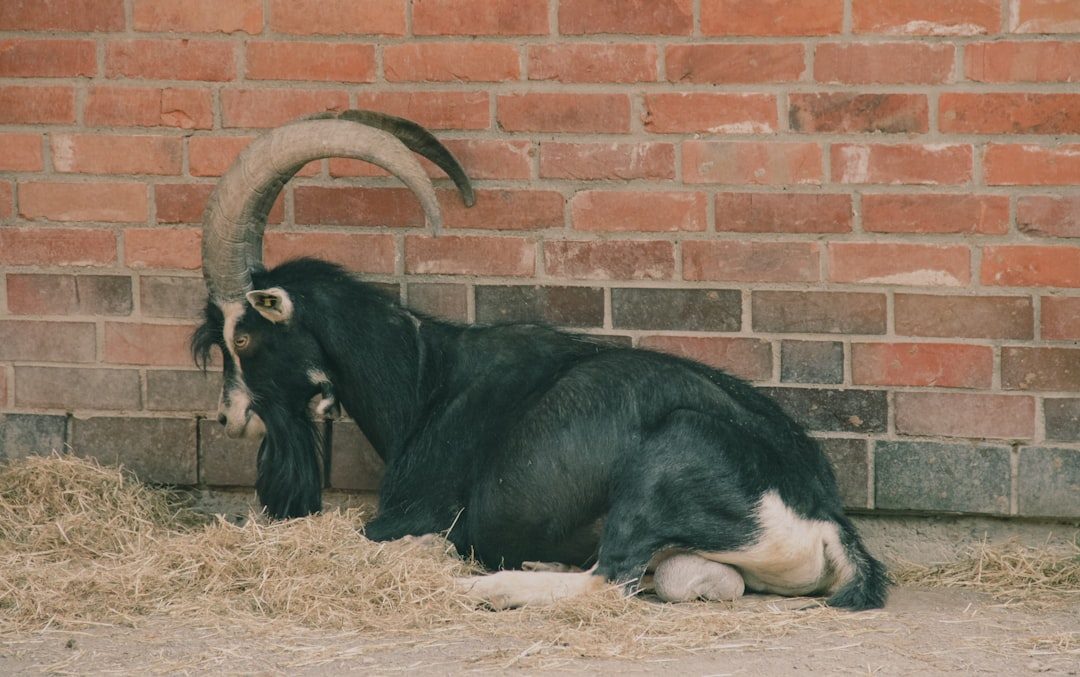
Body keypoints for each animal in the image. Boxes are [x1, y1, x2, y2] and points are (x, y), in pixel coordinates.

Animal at [193, 110, 889, 611]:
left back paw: (482, 585)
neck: (427, 380)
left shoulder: (411, 511)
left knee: (609, 579)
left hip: (668, 461)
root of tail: (827, 521)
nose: (229, 419)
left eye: (243, 338)